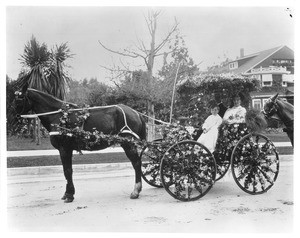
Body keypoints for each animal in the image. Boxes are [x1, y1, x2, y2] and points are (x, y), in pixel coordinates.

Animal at [13, 87, 147, 203]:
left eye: (19, 99)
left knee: (136, 163)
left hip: (128, 144)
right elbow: (68, 171)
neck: (59, 116)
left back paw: (136, 191)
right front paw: (67, 193)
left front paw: (69, 195)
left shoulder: (64, 149)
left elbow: (67, 171)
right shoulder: (68, 149)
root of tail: (136, 113)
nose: (15, 117)